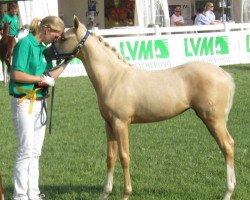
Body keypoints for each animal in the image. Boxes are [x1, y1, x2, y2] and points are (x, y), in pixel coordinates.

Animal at [43, 17, 236, 200]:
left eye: (63, 38)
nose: (45, 52)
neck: (113, 77)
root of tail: (225, 75)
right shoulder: (109, 125)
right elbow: (110, 157)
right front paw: (105, 193)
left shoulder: (121, 124)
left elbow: (124, 157)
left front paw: (126, 194)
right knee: (230, 145)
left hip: (213, 120)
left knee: (227, 147)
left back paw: (228, 192)